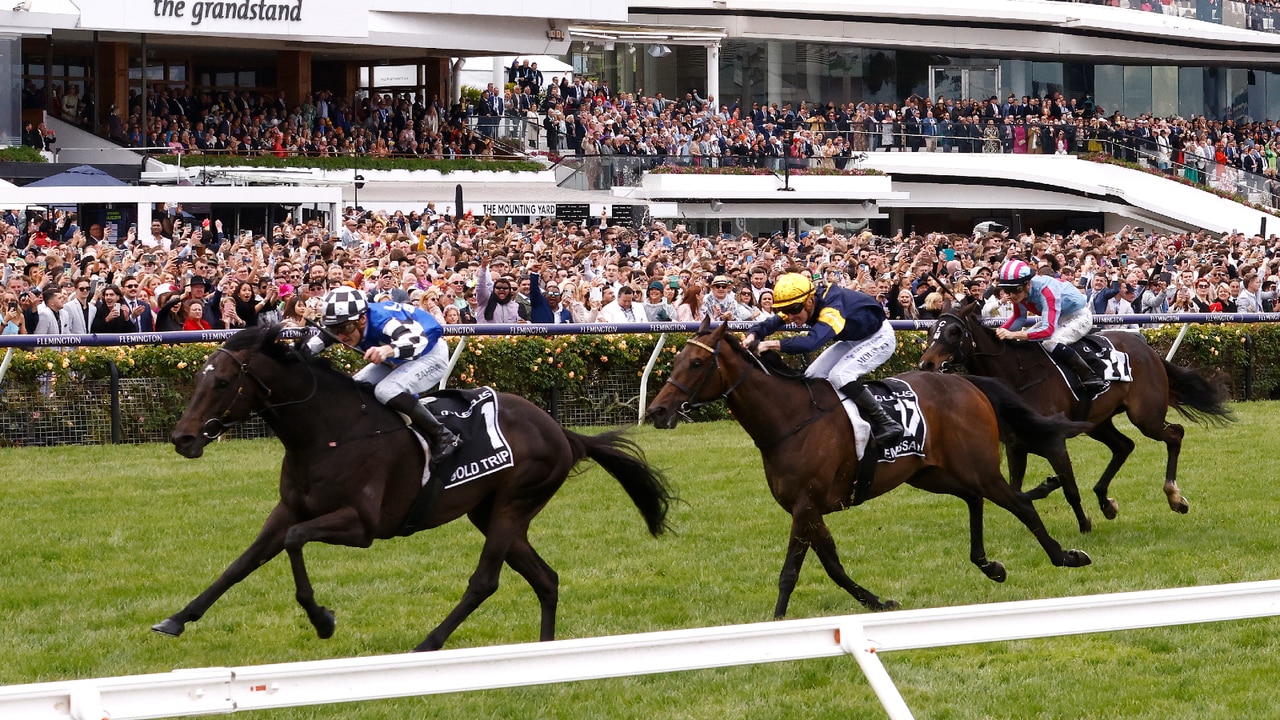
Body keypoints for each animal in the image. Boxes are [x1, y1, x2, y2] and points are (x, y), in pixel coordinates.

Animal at [154, 322, 675, 648]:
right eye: (200, 378)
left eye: (222, 382)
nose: (183, 438)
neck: (329, 433)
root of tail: (561, 431)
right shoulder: (289, 508)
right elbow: (242, 562)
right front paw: (176, 619)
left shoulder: (362, 526)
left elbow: (294, 541)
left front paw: (322, 620)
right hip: (491, 512)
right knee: (546, 579)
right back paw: (542, 655)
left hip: (513, 504)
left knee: (484, 582)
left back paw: (428, 643)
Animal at [645, 316, 1085, 614]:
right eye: (678, 359)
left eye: (696, 365)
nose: (657, 410)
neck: (790, 420)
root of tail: (967, 382)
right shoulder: (809, 509)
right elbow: (833, 565)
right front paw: (877, 602)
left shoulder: (805, 506)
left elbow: (791, 570)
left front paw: (777, 620)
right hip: (930, 473)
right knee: (974, 499)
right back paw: (989, 565)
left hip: (979, 467)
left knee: (1018, 504)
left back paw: (1065, 556)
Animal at [921, 299, 1228, 525]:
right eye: (931, 330)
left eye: (954, 332)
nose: (927, 364)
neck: (1018, 377)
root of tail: (1150, 351)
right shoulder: (1016, 447)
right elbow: (1017, 489)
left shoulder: (1054, 443)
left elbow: (1069, 489)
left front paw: (1084, 525)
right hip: (1097, 422)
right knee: (1124, 446)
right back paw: (1106, 501)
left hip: (1146, 417)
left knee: (1174, 434)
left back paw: (1174, 496)